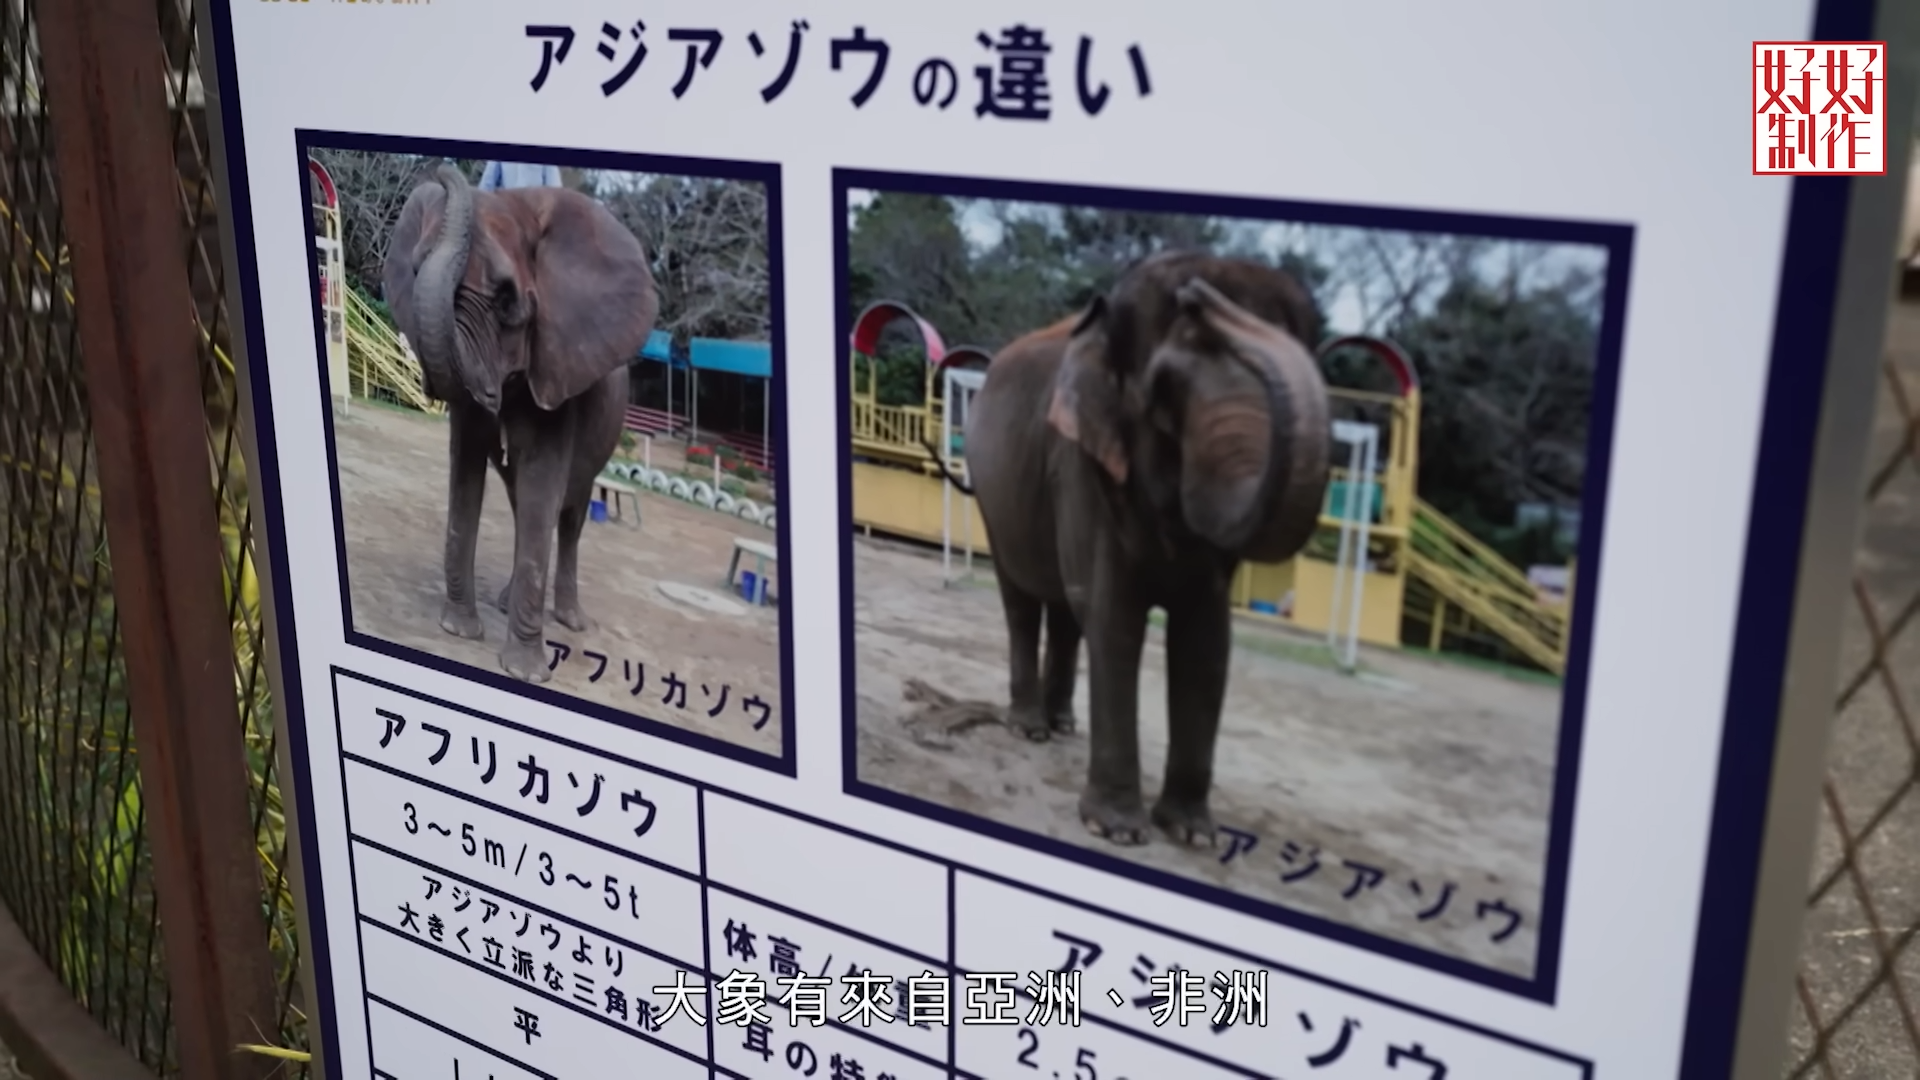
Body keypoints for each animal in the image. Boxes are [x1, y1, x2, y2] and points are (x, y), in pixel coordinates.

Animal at [381, 162, 659, 684]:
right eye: (416, 269)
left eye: (507, 302)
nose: (446, 173)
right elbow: (466, 469)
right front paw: (459, 631)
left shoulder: (557, 369)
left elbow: (542, 479)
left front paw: (525, 673)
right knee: (525, 505)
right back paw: (507, 605)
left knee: (568, 514)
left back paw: (570, 621)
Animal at [926, 251, 1333, 848]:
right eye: (1163, 393)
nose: (1200, 294)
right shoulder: (1078, 463)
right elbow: (1116, 620)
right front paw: (1117, 831)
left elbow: (1207, 639)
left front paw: (1193, 835)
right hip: (995, 502)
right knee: (1023, 602)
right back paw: (1030, 729)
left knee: (1066, 612)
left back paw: (1063, 724)